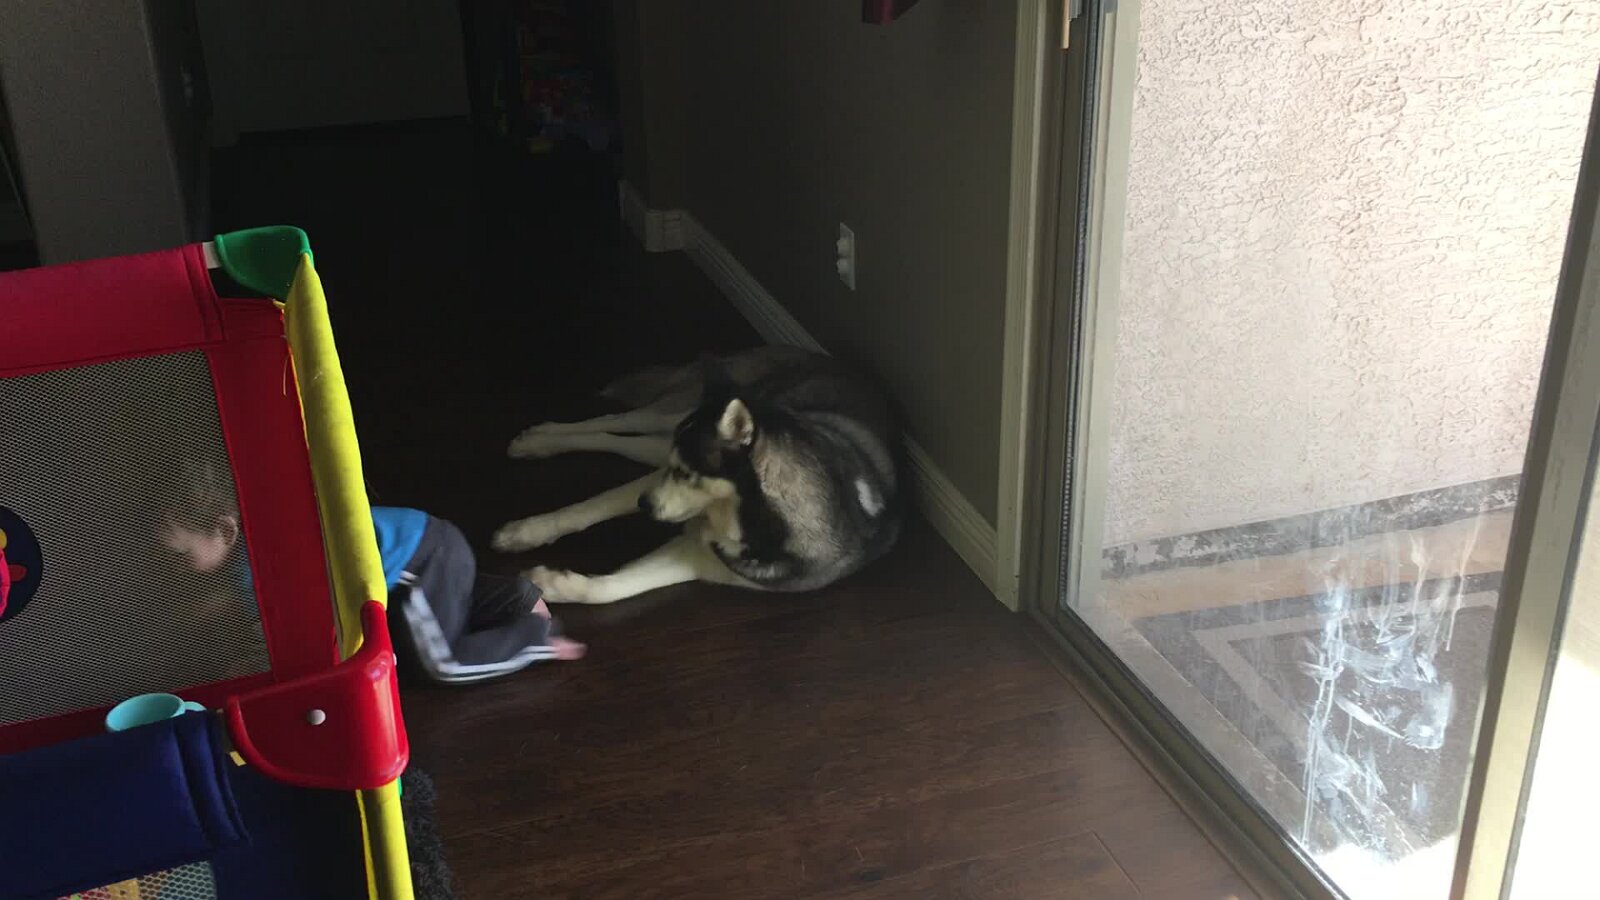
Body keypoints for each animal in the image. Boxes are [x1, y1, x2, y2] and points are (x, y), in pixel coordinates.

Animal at [492, 347, 903, 604]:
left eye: (688, 473)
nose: (642, 504)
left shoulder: (700, 558)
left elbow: (610, 590)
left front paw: (551, 585)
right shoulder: (660, 478)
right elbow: (586, 509)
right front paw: (525, 532)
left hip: (660, 440)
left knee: (624, 442)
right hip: (669, 419)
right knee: (617, 422)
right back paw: (540, 439)